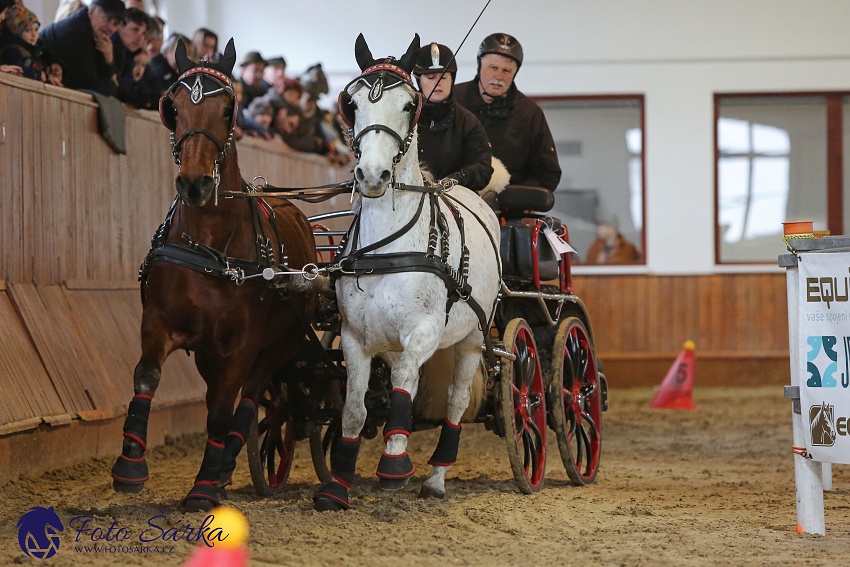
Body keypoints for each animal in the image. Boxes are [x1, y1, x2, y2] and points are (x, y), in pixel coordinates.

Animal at [109, 37, 314, 512]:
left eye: (227, 109)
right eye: (174, 107)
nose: (195, 184)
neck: (210, 246)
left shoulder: (242, 345)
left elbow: (223, 412)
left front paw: (203, 487)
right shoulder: (160, 323)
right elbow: (146, 376)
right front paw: (130, 465)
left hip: (277, 347)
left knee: (252, 400)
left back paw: (224, 466)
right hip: (207, 354)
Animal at [312, 34, 500, 516]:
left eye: (408, 103)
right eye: (353, 103)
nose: (373, 175)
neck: (387, 249)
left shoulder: (424, 331)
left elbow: (401, 383)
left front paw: (394, 465)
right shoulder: (355, 338)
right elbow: (354, 410)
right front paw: (336, 486)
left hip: (472, 337)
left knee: (454, 402)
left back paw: (435, 478)